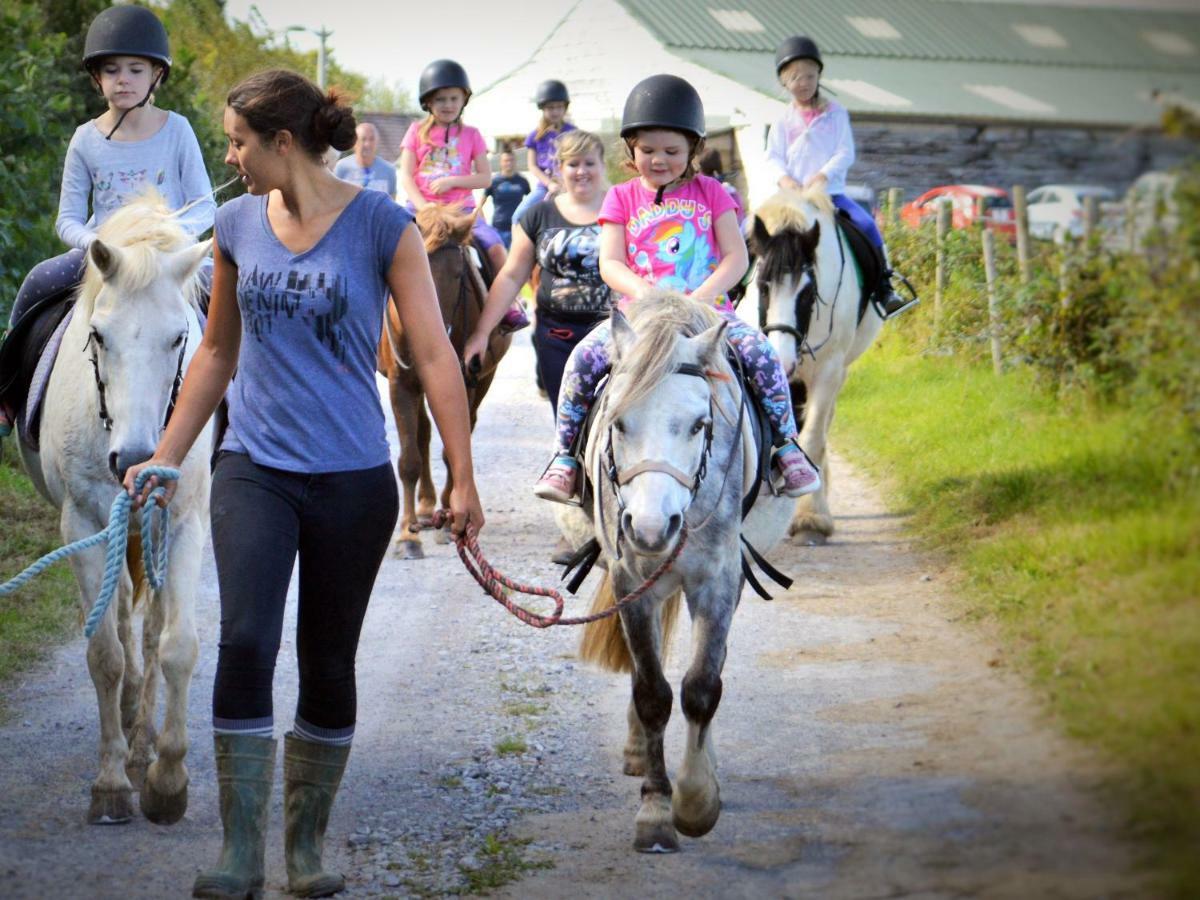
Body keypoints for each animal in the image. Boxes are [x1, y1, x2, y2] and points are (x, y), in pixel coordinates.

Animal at [18, 194, 211, 830]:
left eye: (178, 339)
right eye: (98, 335)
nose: (134, 460)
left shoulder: (183, 522)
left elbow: (177, 647)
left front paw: (167, 780)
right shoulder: (81, 524)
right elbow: (104, 653)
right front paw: (110, 785)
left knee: (147, 633)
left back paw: (144, 742)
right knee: (123, 622)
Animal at [374, 207, 506, 561]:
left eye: (459, 274)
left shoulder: (465, 379)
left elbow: (453, 450)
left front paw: (449, 520)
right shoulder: (401, 382)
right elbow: (409, 459)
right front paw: (407, 536)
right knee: (422, 434)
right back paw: (423, 509)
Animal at [739, 189, 883, 542]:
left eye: (808, 293)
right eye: (762, 286)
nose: (782, 358)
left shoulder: (829, 371)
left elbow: (813, 438)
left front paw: (810, 518)